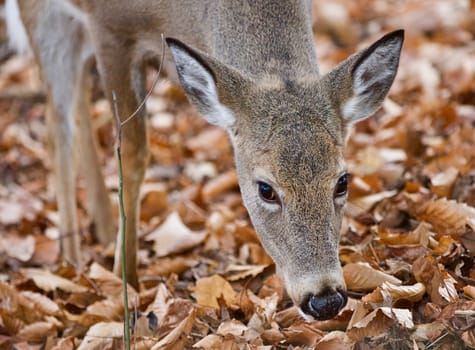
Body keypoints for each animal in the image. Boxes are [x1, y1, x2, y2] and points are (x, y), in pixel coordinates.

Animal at [5, 0, 404, 320]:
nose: (325, 300)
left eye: (342, 181)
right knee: (56, 125)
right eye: (265, 189)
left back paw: (100, 230)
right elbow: (133, 150)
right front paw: (125, 282)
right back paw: (71, 261)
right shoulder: (108, 26)